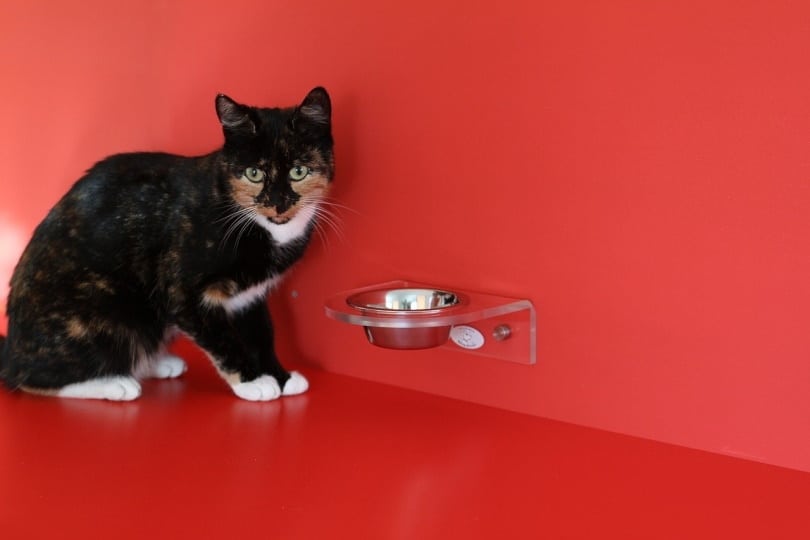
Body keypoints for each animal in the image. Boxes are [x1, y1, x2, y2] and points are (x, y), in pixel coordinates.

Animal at [0, 87, 332, 400]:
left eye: (298, 171)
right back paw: (115, 383)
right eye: (254, 173)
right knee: (32, 378)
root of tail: (13, 349)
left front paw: (280, 376)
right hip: (109, 311)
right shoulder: (183, 292)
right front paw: (252, 382)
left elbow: (261, 333)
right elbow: (221, 338)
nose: (278, 203)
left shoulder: (249, 295)